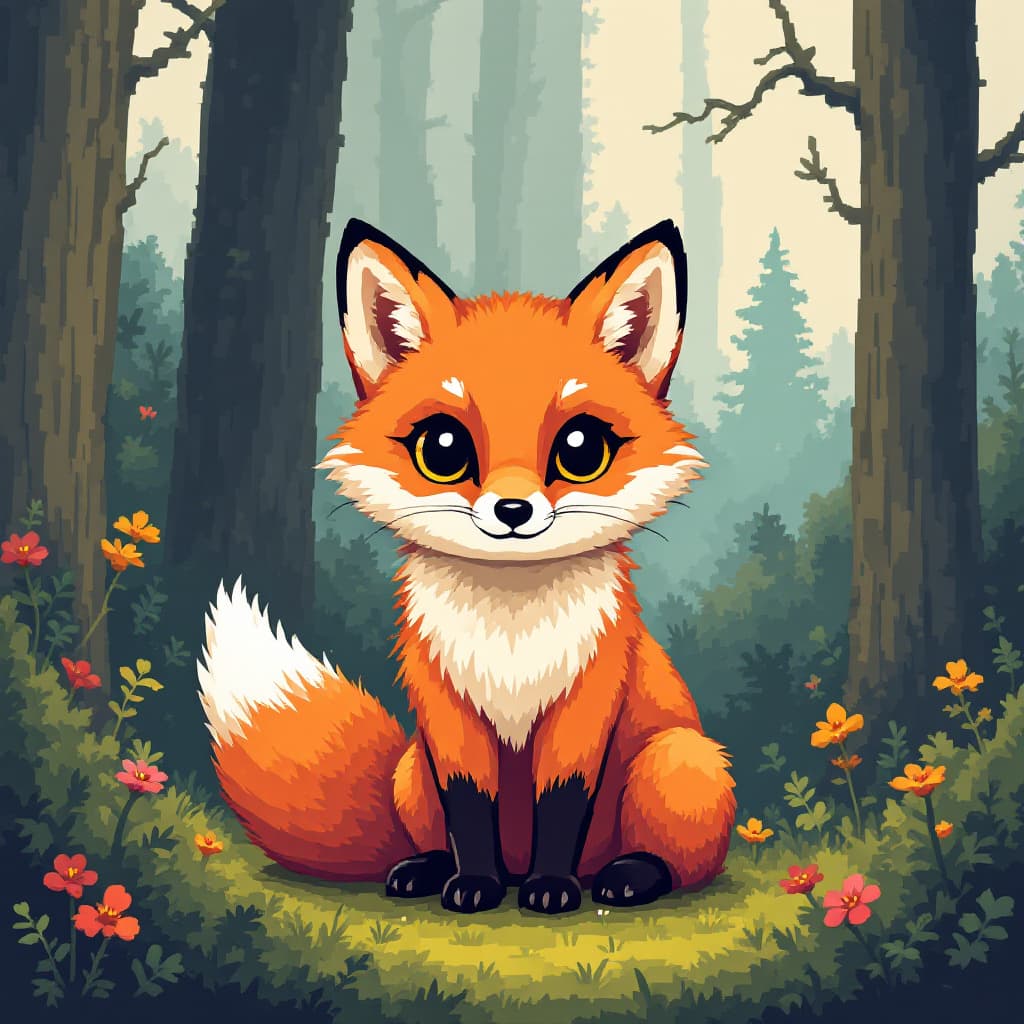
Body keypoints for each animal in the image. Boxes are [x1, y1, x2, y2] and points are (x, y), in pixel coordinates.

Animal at [197, 218, 736, 915]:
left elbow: (562, 805)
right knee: (431, 836)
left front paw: (551, 888)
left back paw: (625, 876)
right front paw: (473, 885)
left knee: (681, 861)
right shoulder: (446, 712)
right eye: (443, 448)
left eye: (581, 448)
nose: (512, 510)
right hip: (411, 771)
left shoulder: (584, 707)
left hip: (677, 761)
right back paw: (427, 870)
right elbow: (469, 808)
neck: (511, 636)